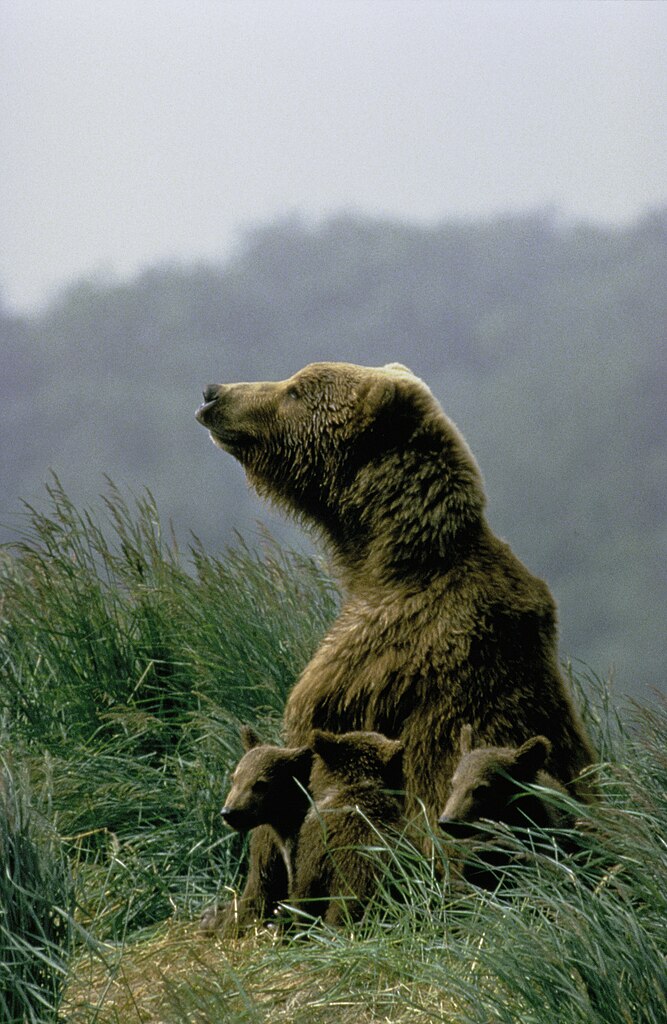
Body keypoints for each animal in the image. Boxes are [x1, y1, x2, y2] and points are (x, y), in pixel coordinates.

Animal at [194, 362, 594, 937]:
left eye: (295, 390)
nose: (214, 392)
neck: (379, 561)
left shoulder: (364, 664)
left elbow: (297, 773)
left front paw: (236, 907)